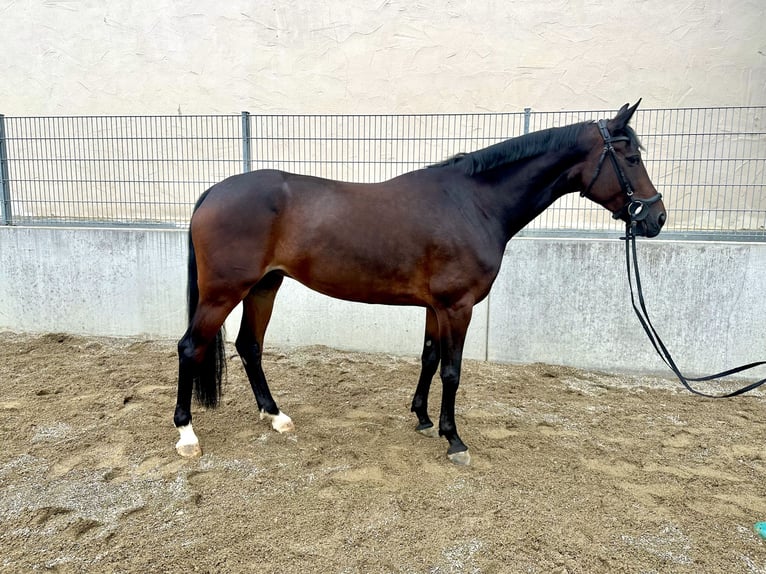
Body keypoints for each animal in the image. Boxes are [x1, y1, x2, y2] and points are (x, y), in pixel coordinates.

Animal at [174, 101, 666, 465]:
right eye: (632, 158)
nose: (657, 217)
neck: (474, 203)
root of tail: (213, 192)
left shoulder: (435, 306)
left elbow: (429, 358)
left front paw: (424, 420)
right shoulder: (457, 306)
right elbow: (452, 370)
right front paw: (454, 440)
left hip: (264, 286)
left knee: (249, 346)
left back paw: (275, 417)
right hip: (224, 292)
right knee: (190, 347)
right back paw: (187, 434)